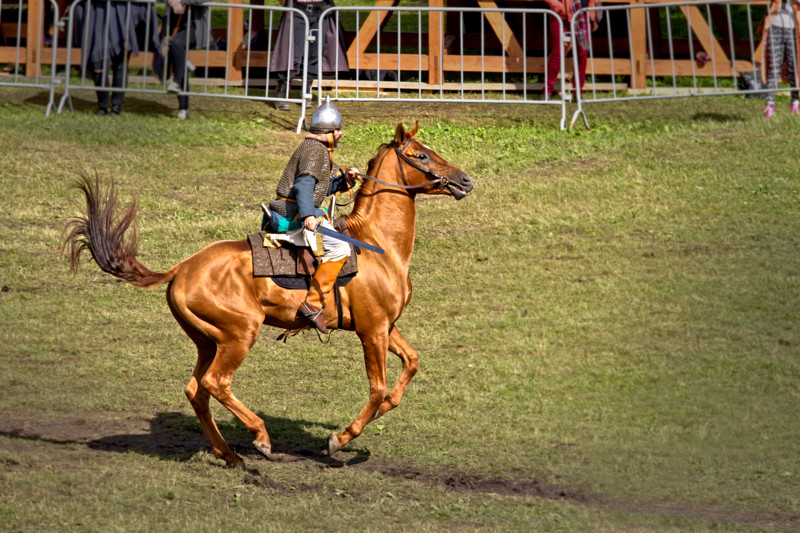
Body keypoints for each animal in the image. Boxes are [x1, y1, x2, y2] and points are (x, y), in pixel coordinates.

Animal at [65, 120, 476, 466]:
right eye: (421, 155)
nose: (466, 180)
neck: (377, 244)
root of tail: (182, 268)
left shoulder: (386, 327)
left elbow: (410, 364)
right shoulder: (372, 331)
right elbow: (377, 389)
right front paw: (339, 439)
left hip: (209, 341)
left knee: (197, 390)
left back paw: (229, 454)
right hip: (240, 333)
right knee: (216, 383)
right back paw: (259, 437)